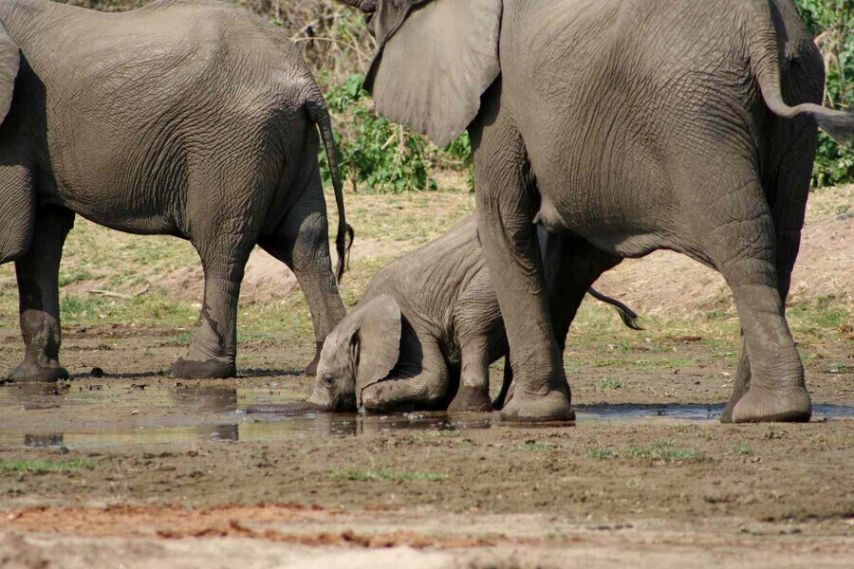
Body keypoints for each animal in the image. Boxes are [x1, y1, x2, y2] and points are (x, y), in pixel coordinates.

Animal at [0, 1, 354, 382]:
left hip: (233, 144)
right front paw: (31, 378)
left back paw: (197, 369)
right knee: (303, 243)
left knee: (221, 246)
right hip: (292, 142)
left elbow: (12, 239)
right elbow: (39, 240)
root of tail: (304, 80)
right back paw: (321, 365)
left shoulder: (11, 129)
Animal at [252, 215, 640, 414]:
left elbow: (434, 378)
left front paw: (368, 400)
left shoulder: (412, 326)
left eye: (330, 380)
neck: (363, 312)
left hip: (490, 284)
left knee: (473, 326)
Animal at [338, 0, 852, 422]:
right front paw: (529, 405)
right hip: (801, 83)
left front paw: (523, 413)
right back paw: (741, 411)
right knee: (781, 244)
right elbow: (570, 255)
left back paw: (769, 410)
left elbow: (502, 217)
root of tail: (762, 26)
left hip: (697, 112)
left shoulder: (502, 95)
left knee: (742, 242)